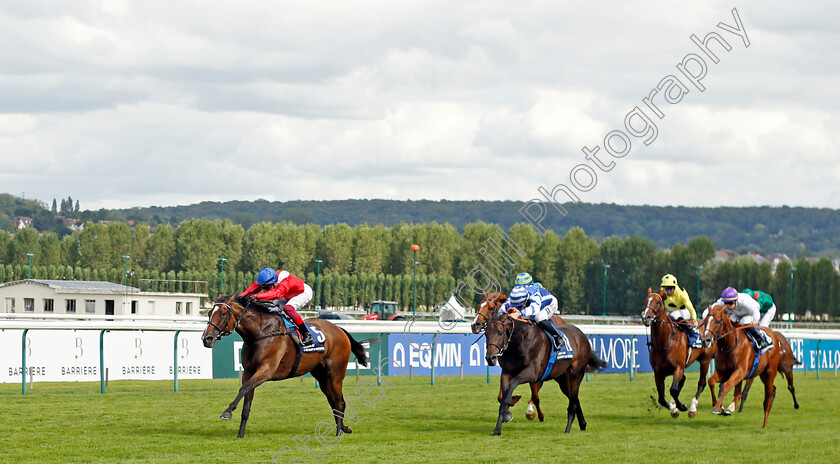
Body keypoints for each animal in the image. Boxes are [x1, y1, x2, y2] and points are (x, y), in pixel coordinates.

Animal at [200, 296, 368, 436]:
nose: (206, 338)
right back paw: (344, 428)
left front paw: (227, 412)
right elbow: (246, 402)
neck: (260, 332)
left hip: (335, 375)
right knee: (334, 402)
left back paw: (339, 432)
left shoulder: (266, 370)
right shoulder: (248, 372)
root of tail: (340, 329)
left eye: (223, 313)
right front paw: (240, 434)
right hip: (322, 377)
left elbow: (243, 389)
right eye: (209, 313)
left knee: (339, 402)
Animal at [470, 292, 568, 422]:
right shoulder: (507, 369)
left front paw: (533, 413)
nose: (474, 325)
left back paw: (531, 411)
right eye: (478, 306)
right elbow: (501, 396)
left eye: (490, 308)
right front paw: (512, 400)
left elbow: (534, 394)